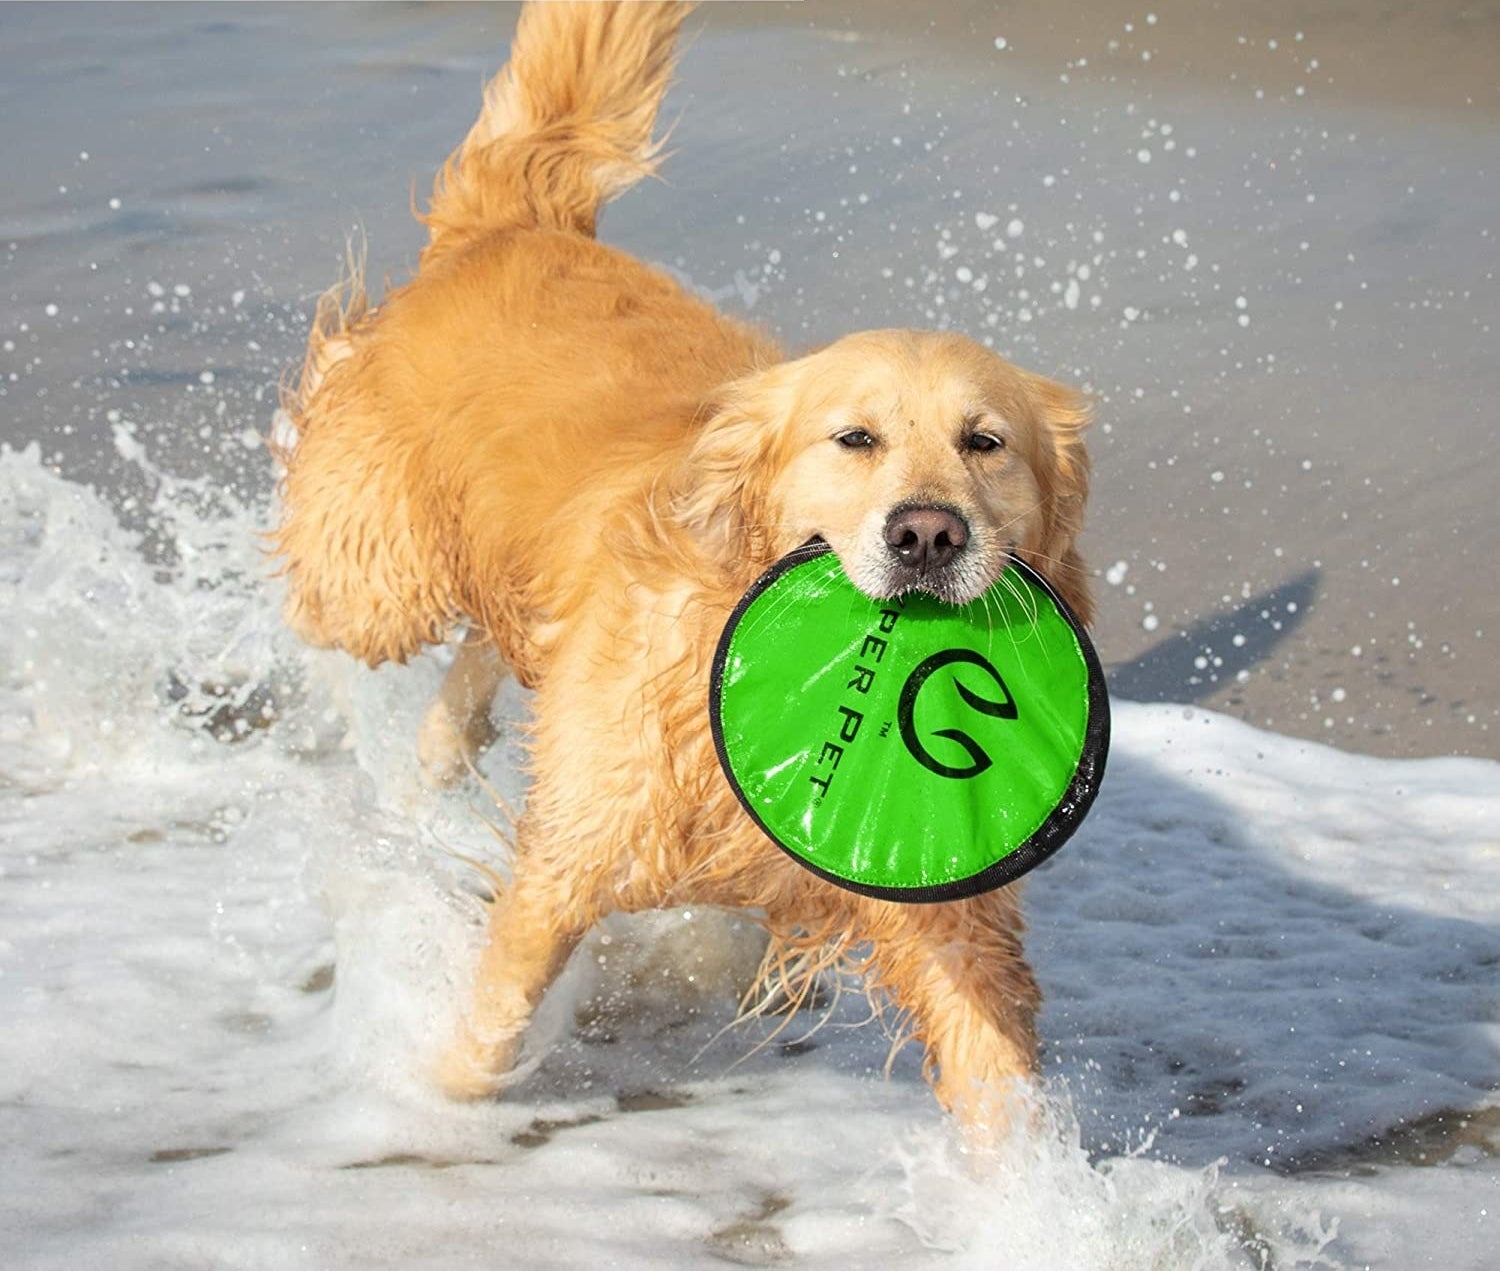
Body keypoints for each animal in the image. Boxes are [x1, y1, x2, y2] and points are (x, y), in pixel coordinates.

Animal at [273, 0, 1092, 1134]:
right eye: (855, 439)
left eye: (986, 443)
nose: (928, 534)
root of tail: (517, 221)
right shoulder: (572, 856)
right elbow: (487, 1038)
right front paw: (425, 1095)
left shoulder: (945, 916)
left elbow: (997, 1079)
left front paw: (1035, 1182)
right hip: (371, 574)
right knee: (330, 591)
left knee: (492, 638)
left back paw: (440, 741)